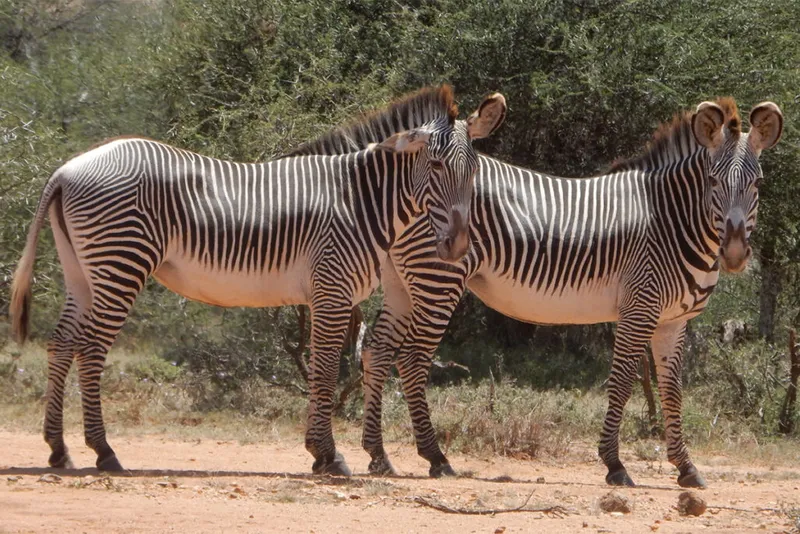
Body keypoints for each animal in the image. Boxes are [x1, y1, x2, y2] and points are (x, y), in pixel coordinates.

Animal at [7, 87, 506, 478]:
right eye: (436, 166)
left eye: (473, 171)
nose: (458, 247)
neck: (359, 200)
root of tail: (67, 169)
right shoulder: (332, 288)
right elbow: (326, 369)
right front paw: (329, 456)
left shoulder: (326, 293)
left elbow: (322, 368)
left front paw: (318, 453)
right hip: (121, 263)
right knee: (90, 349)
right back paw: (104, 452)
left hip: (83, 270)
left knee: (61, 342)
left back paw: (59, 449)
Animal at [306, 97, 780, 486]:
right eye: (714, 183)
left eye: (757, 185)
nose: (735, 253)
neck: (671, 222)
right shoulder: (639, 308)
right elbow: (622, 381)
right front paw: (615, 464)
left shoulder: (673, 321)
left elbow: (672, 390)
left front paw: (686, 467)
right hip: (437, 277)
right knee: (411, 359)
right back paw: (435, 456)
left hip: (403, 281)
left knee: (377, 351)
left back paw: (379, 455)